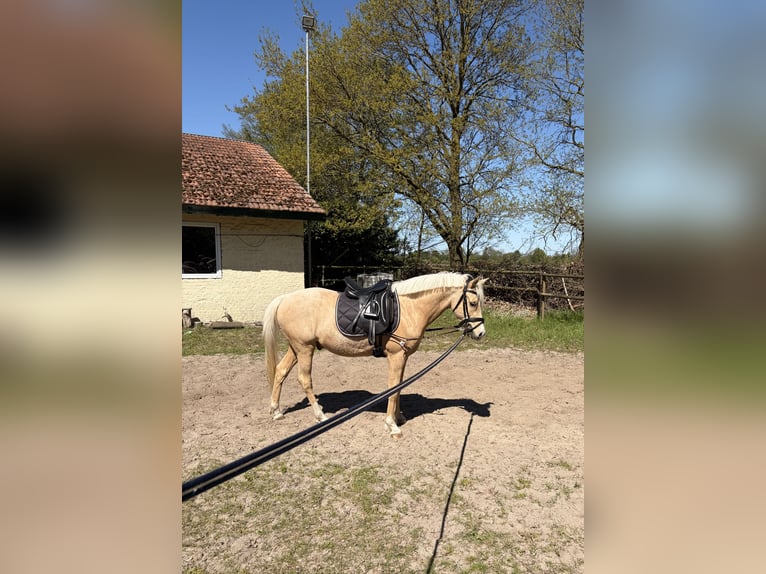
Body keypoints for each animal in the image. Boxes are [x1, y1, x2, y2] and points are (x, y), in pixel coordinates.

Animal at [262, 272, 487, 437]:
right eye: (473, 302)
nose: (480, 333)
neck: (409, 308)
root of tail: (284, 299)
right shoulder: (396, 356)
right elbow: (393, 387)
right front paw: (392, 425)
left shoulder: (403, 357)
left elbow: (399, 387)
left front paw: (398, 417)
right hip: (304, 349)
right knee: (304, 379)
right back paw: (320, 415)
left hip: (296, 348)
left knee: (280, 371)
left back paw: (276, 411)